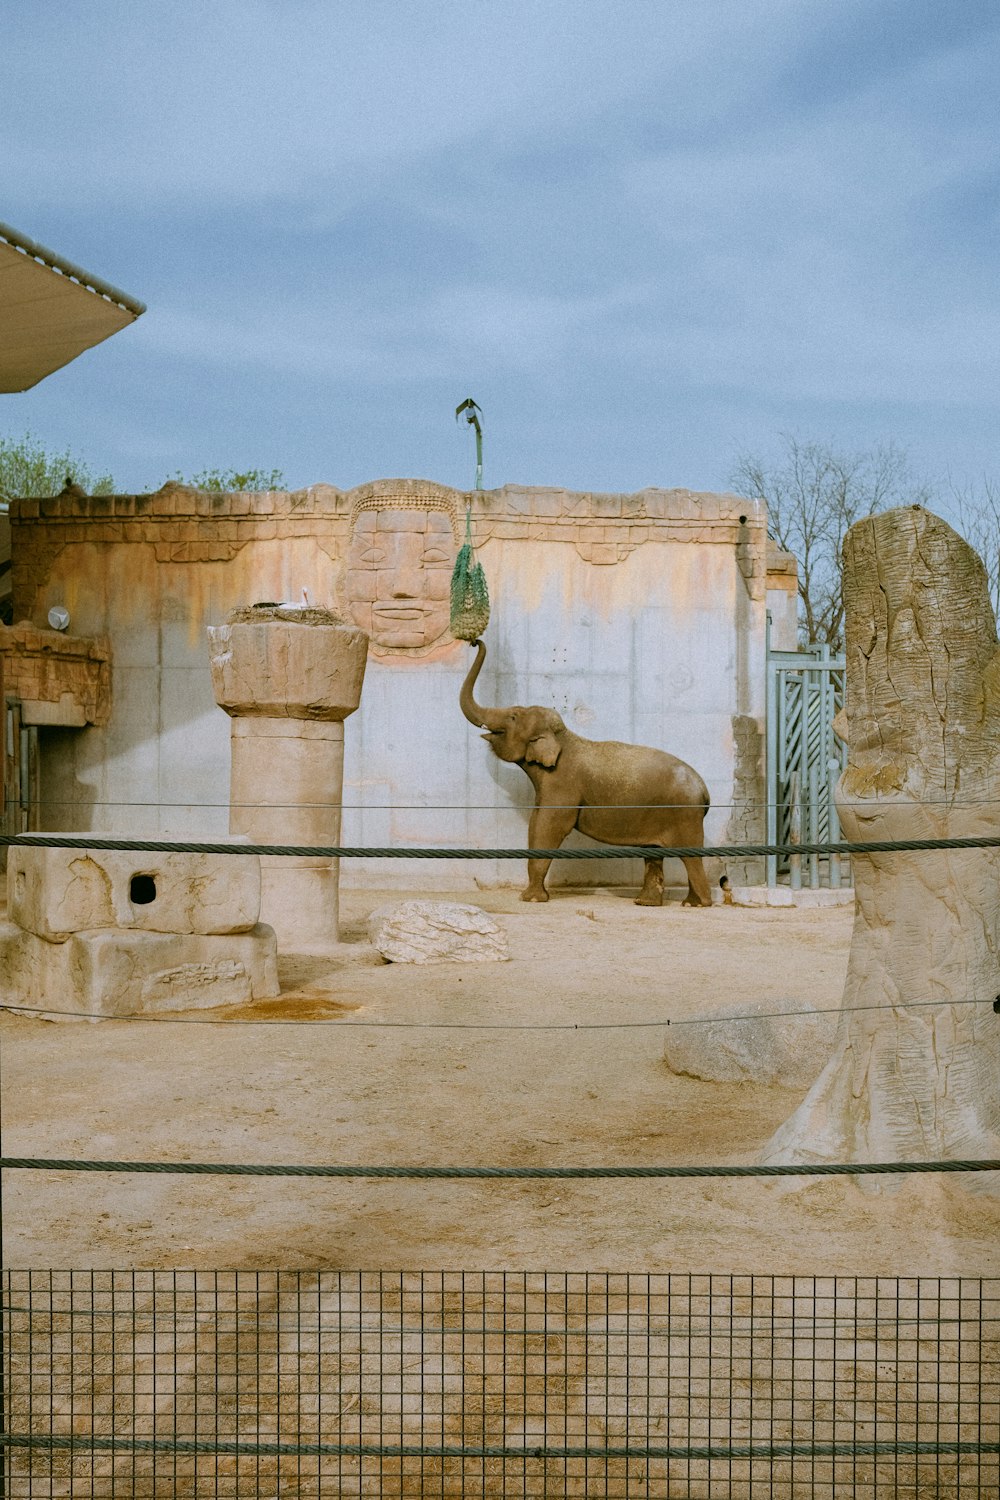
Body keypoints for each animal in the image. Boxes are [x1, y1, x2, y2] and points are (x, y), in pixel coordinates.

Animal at [458, 639, 716, 906]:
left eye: (512, 716)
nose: (474, 641)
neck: (564, 738)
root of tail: (704, 791)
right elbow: (536, 822)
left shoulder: (562, 784)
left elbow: (547, 826)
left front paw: (530, 899)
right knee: (653, 853)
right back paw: (648, 903)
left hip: (685, 814)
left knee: (690, 855)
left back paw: (697, 904)